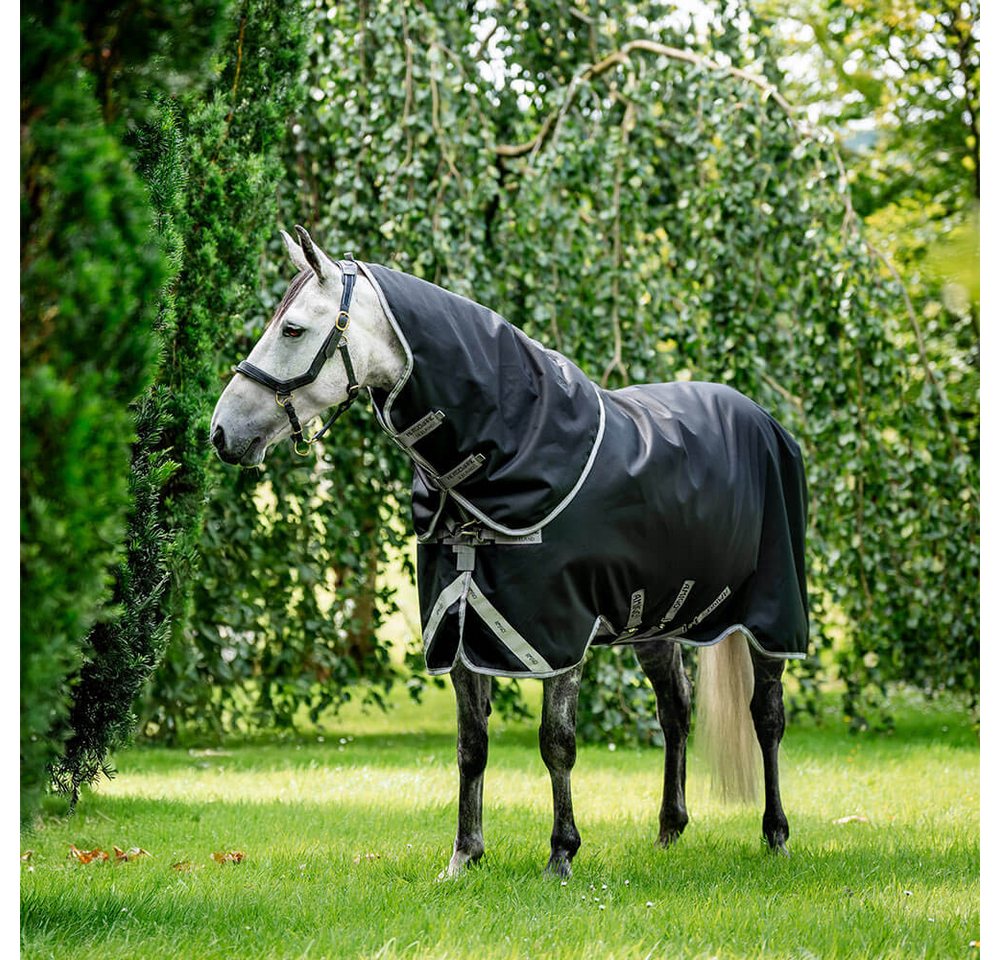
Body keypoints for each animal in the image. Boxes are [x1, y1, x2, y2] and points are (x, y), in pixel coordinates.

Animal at [211, 225, 808, 877]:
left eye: (292, 329)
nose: (221, 433)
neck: (506, 452)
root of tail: (764, 420)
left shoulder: (558, 634)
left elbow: (557, 743)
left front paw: (562, 854)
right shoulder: (458, 625)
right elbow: (471, 746)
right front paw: (463, 856)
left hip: (771, 616)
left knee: (767, 717)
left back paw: (776, 833)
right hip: (653, 622)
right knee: (675, 711)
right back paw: (669, 832)